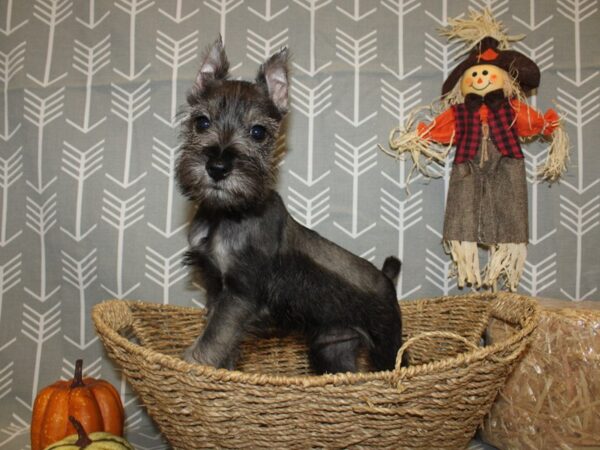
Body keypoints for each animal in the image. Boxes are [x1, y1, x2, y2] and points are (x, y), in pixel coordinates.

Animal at [178, 37, 404, 376]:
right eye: (201, 122)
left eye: (258, 132)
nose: (217, 167)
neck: (228, 213)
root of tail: (387, 279)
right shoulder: (217, 288)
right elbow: (220, 338)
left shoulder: (240, 293)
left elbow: (213, 339)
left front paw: (194, 364)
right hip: (332, 347)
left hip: (386, 348)